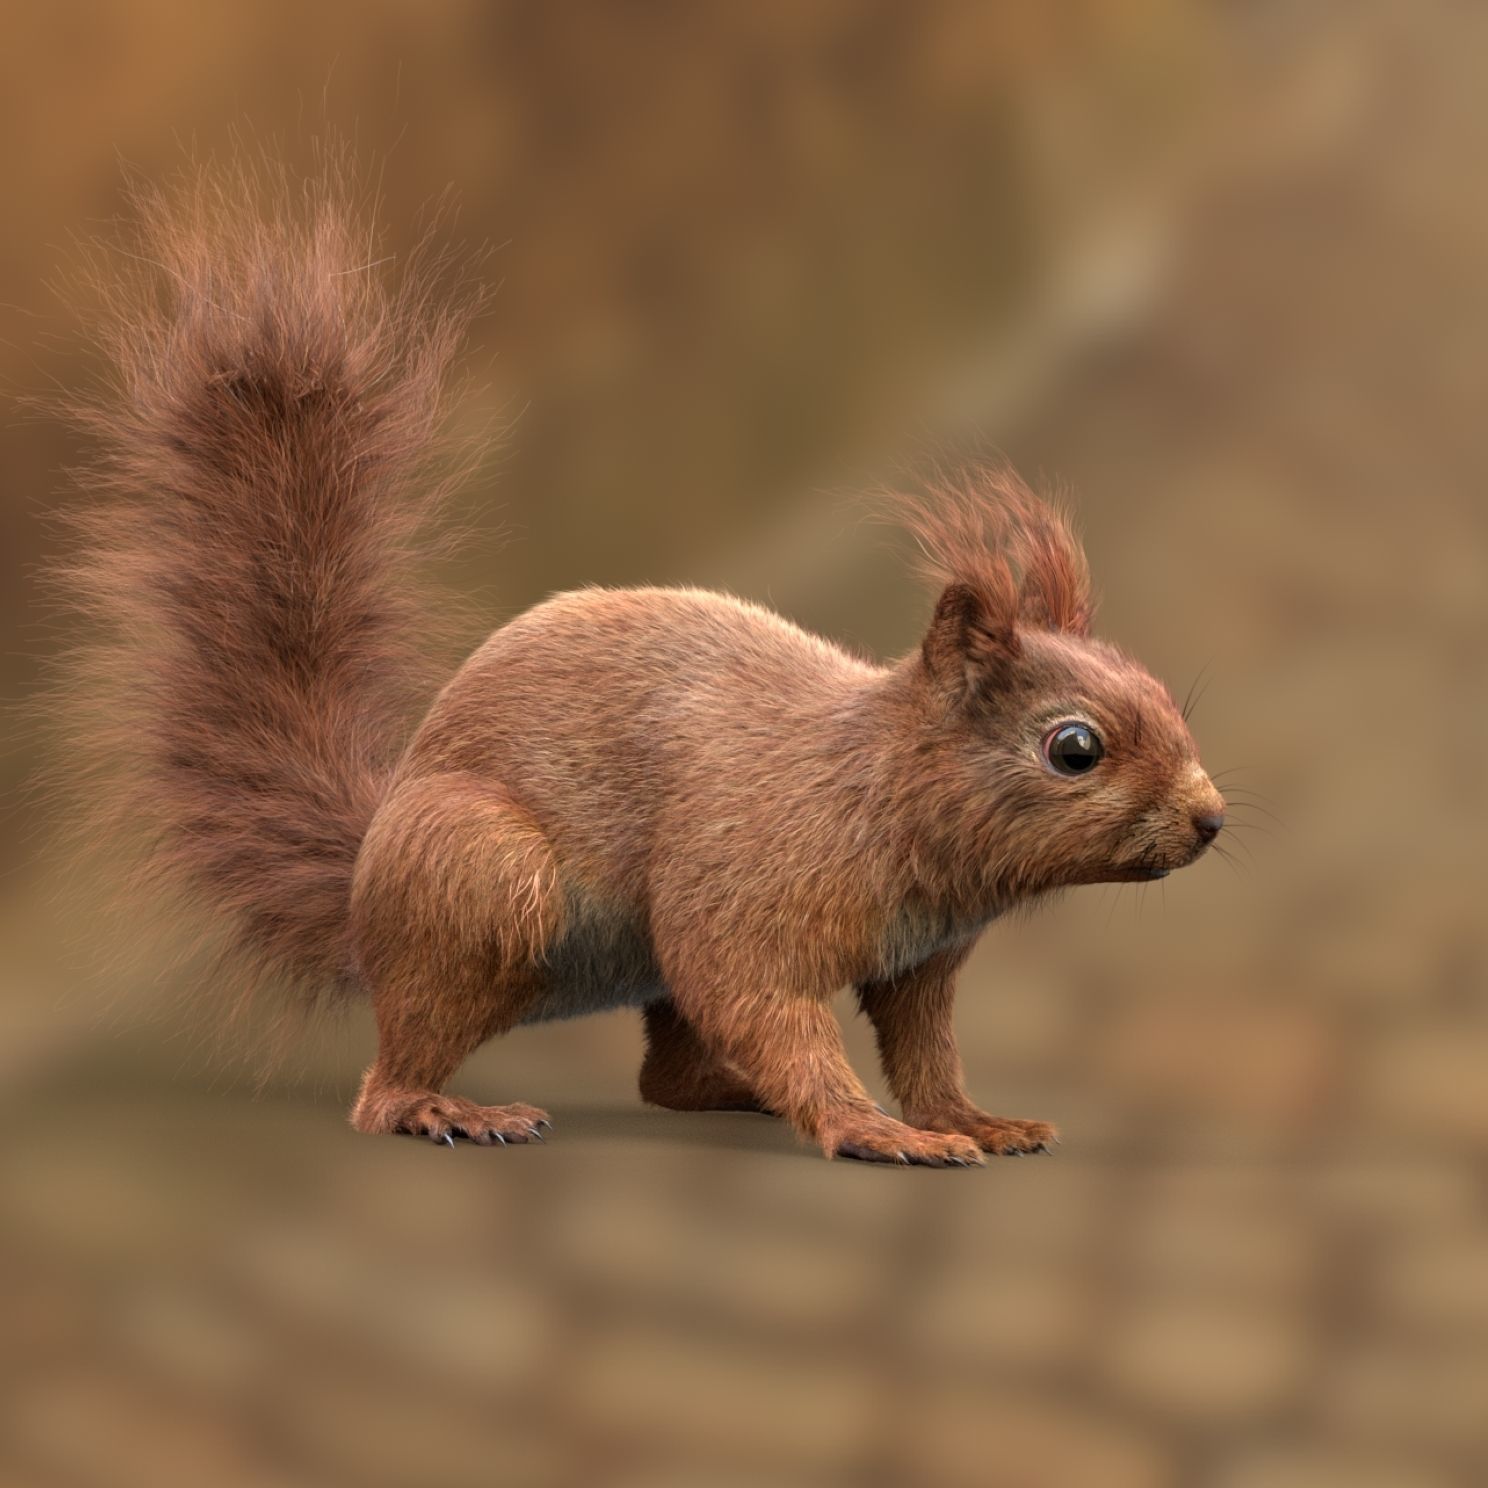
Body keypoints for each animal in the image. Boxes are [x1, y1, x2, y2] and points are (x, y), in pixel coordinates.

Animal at [56, 168, 1226, 1167]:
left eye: (1164, 695)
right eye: (1074, 747)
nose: (1211, 819)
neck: (875, 785)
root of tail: (361, 888)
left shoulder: (919, 963)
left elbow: (925, 1050)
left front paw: (973, 1120)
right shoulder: (747, 894)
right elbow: (767, 1006)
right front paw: (870, 1129)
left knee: (669, 1073)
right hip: (482, 881)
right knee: (388, 1079)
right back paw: (449, 1108)